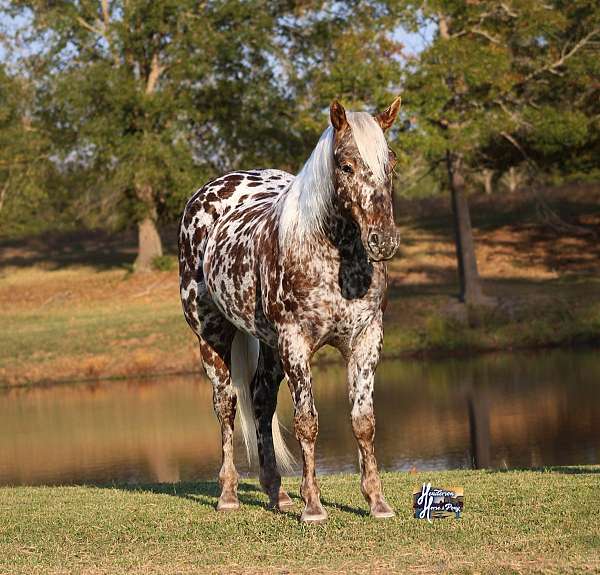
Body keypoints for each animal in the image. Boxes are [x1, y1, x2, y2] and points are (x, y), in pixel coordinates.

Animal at [178, 98, 404, 520]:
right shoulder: (296, 343)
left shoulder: (366, 339)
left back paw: (277, 493)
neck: (335, 260)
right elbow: (306, 423)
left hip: (269, 346)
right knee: (227, 405)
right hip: (213, 337)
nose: (383, 240)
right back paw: (228, 495)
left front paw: (377, 501)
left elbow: (363, 421)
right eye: (345, 165)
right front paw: (313, 505)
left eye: (391, 163)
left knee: (261, 401)